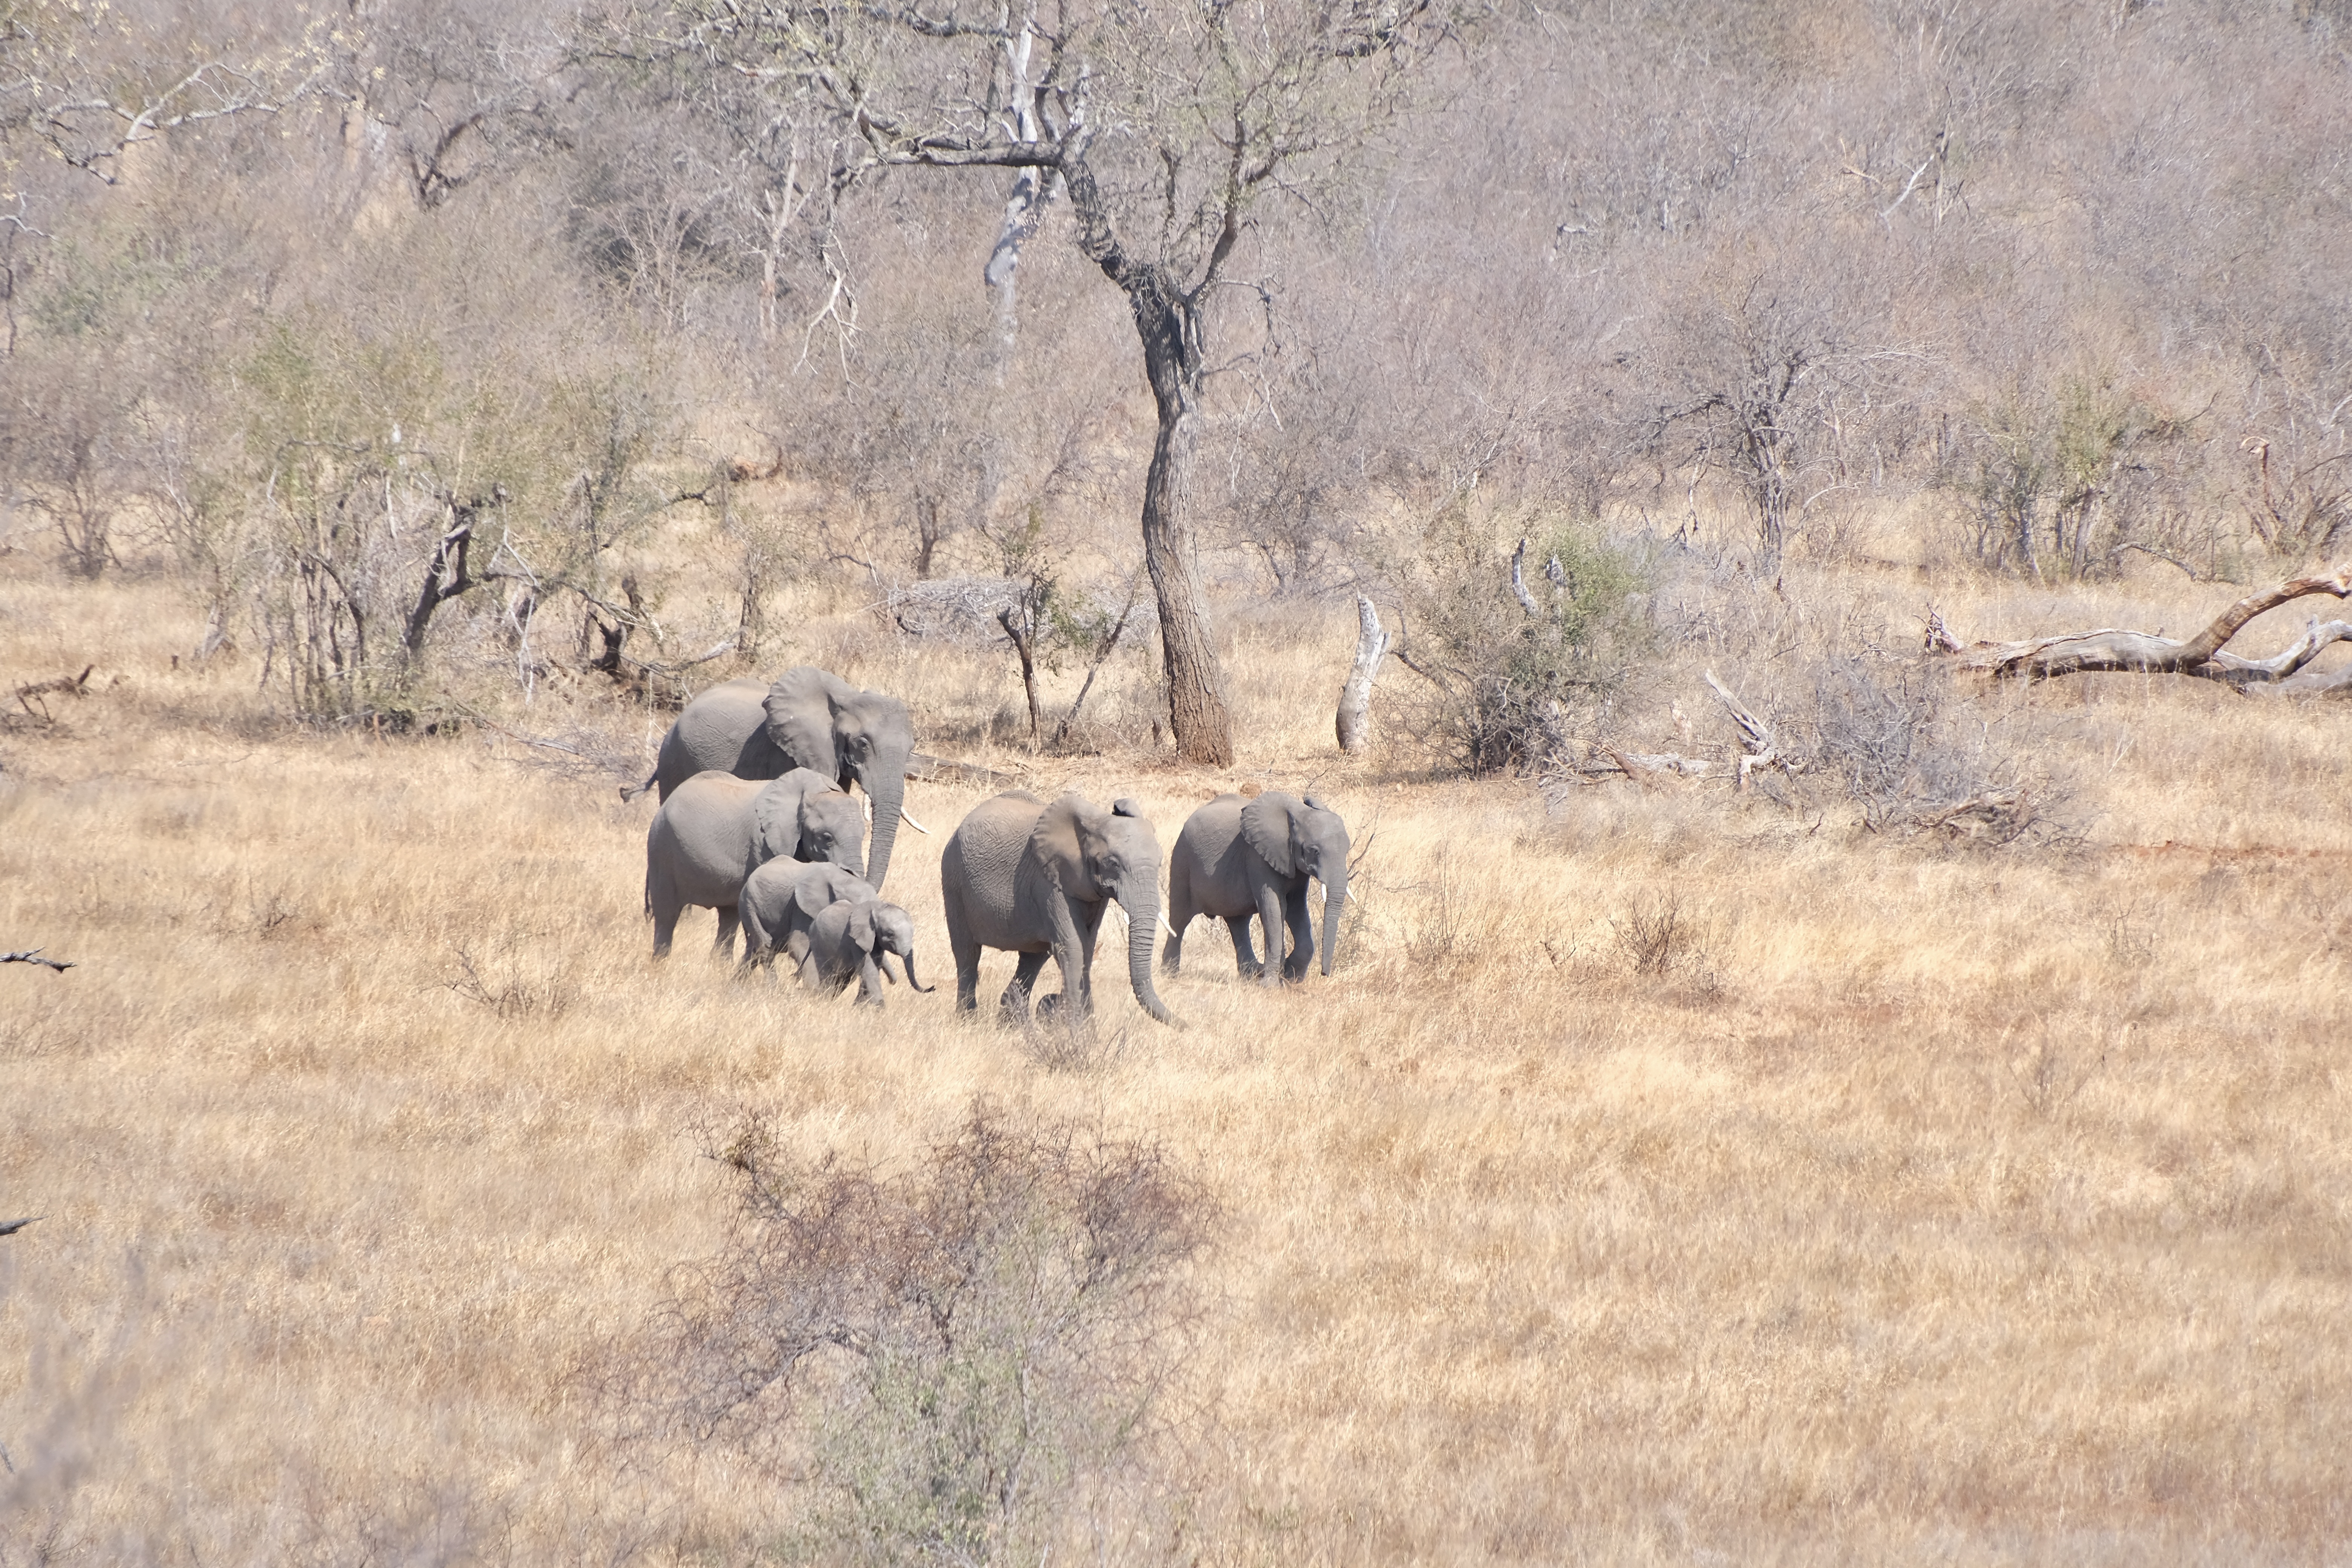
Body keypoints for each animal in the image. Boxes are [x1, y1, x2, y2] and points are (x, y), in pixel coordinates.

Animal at [645, 767, 866, 959]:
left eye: (864, 835)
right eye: (827, 837)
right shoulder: (762, 841)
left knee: (729, 915)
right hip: (661, 849)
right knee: (667, 914)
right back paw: (661, 963)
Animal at [737, 861, 878, 977]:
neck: (842, 879)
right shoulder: (801, 909)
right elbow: (799, 945)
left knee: (753, 951)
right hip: (749, 905)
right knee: (765, 947)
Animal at [801, 898, 935, 1006]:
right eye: (890, 934)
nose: (933, 987)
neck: (878, 909)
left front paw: (861, 1007)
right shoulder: (856, 942)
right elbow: (870, 971)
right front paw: (878, 1008)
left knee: (844, 980)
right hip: (818, 944)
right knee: (828, 976)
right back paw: (825, 1000)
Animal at [939, 790, 1173, 1025]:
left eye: (1160, 863)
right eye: (1113, 863)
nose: (1181, 1022)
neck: (1094, 822)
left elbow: (1087, 949)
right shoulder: (1049, 881)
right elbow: (1073, 947)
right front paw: (1078, 1032)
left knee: (1031, 959)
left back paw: (1011, 1026)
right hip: (953, 879)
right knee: (967, 953)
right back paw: (967, 1021)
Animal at [1164, 791, 1350, 984]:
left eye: (1347, 850)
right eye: (1314, 851)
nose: (1324, 973)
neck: (1298, 813)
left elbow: (1297, 909)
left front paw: (1291, 979)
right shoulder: (1258, 857)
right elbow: (1274, 910)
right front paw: (1271, 985)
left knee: (1238, 924)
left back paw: (1250, 975)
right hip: (1182, 859)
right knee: (1179, 919)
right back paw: (1169, 975)